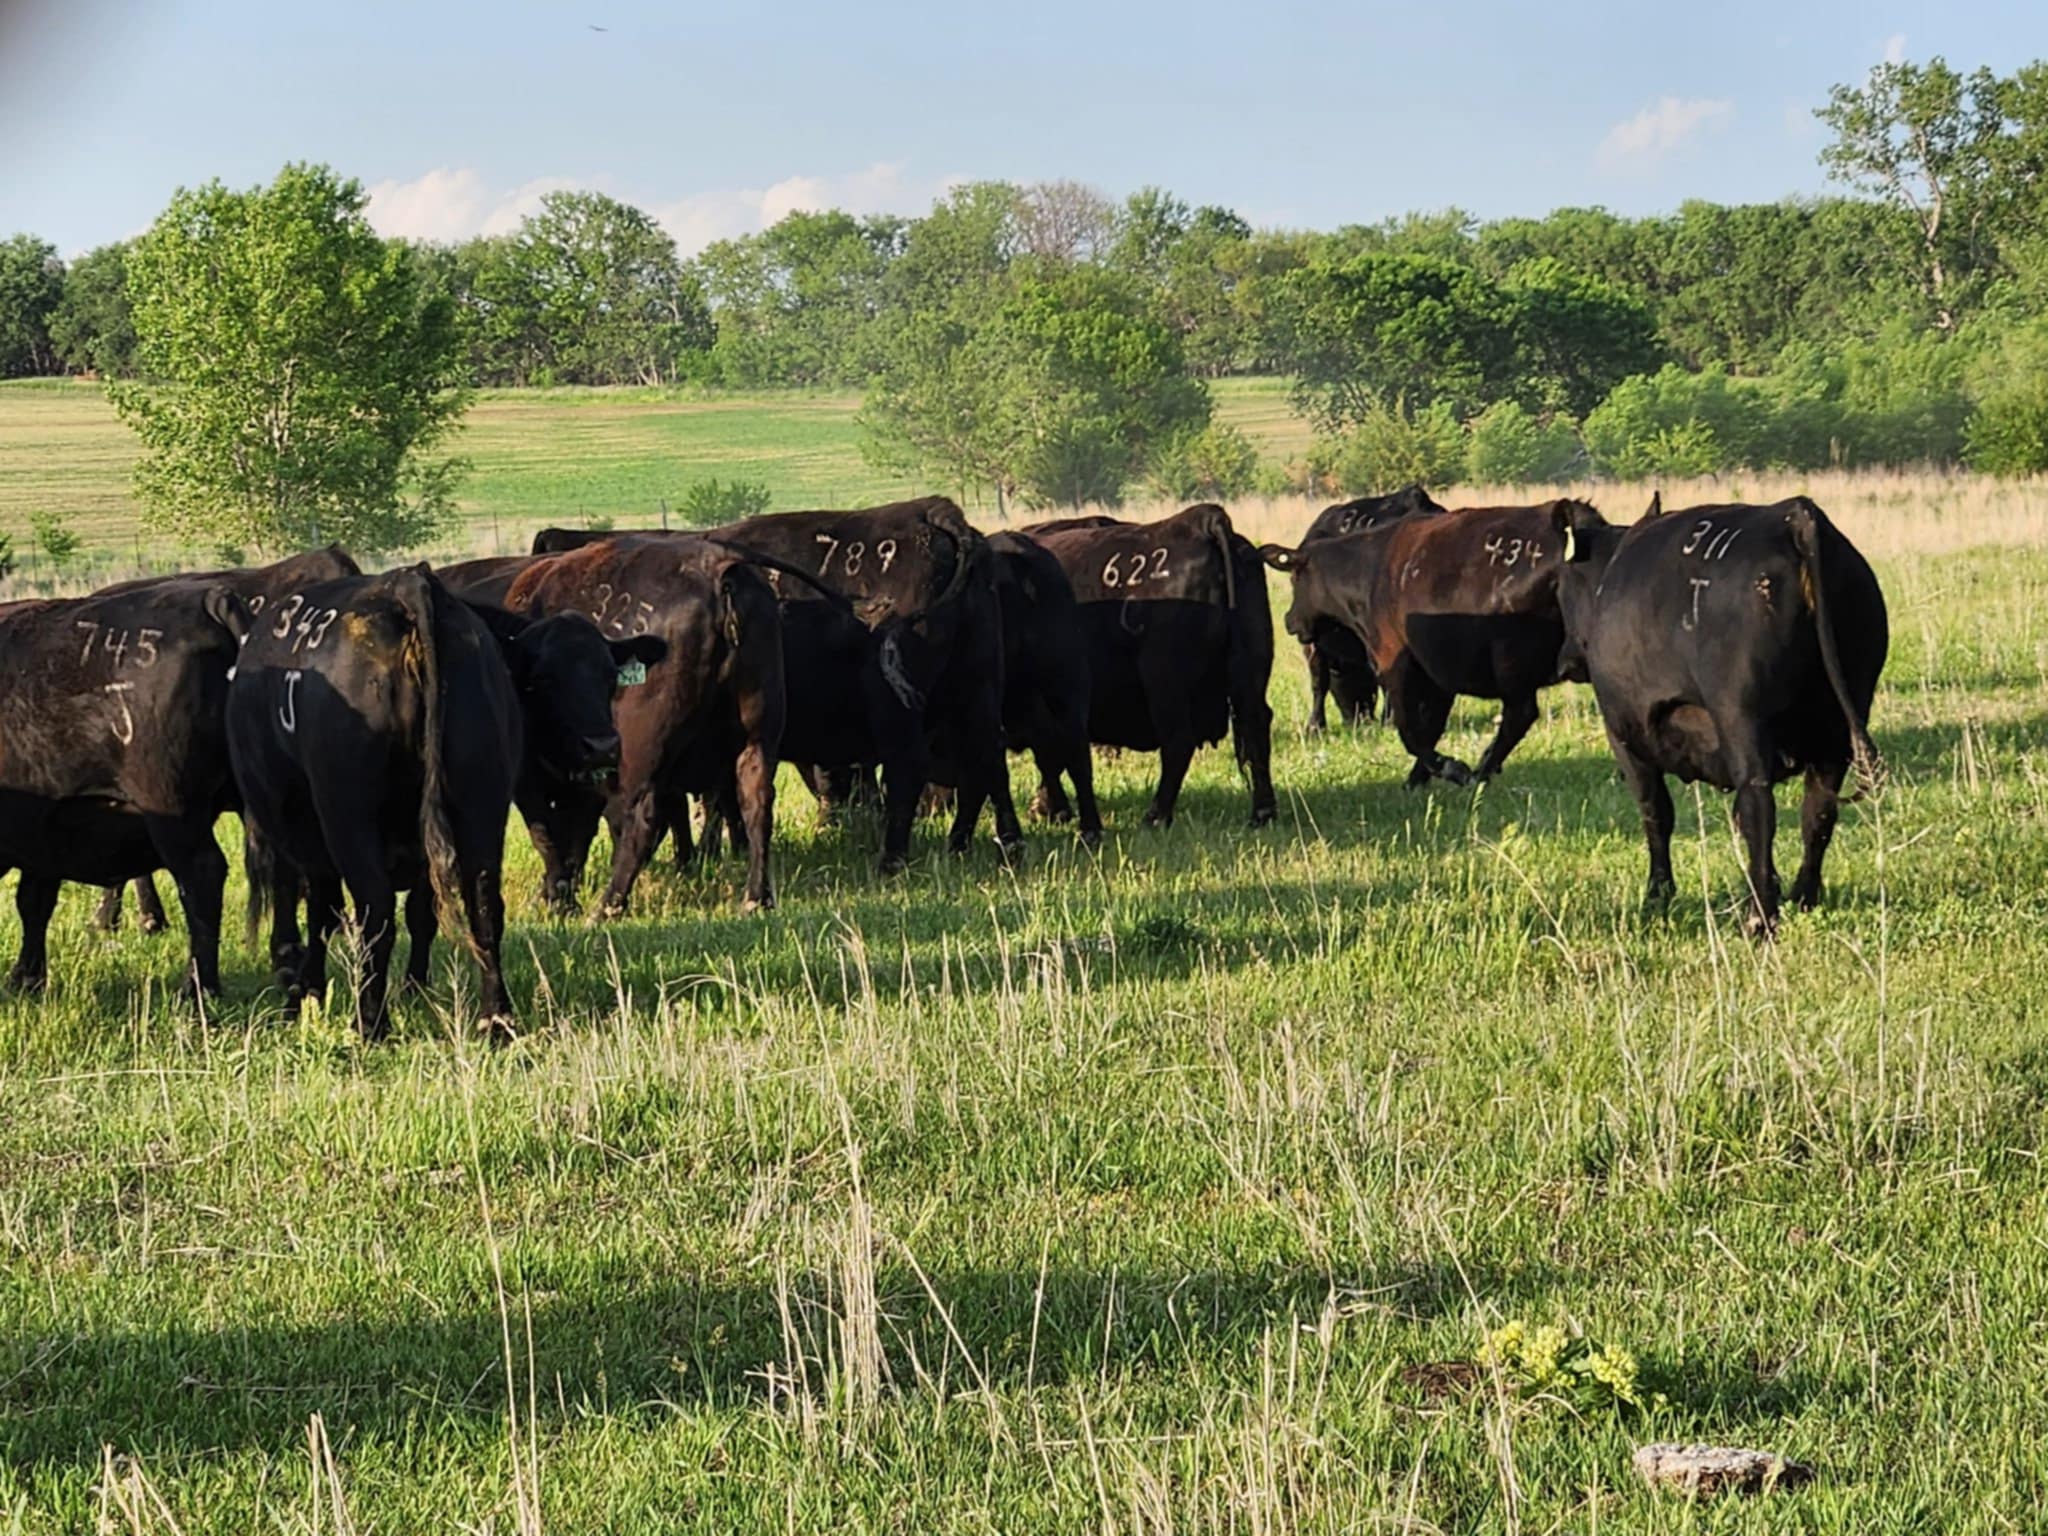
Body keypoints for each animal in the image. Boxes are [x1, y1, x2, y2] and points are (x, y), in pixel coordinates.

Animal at [0, 580, 249, 996]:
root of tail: (210, 600)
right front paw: (27, 978)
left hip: (172, 808)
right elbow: (34, 901)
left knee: (202, 876)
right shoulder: (43, 831)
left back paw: (196, 988)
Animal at [226, 566, 636, 1037]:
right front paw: (414, 989)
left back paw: (371, 1025)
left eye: (610, 677)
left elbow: (318, 913)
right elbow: (420, 913)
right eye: (545, 680)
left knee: (374, 910)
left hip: (349, 814)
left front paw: (304, 991)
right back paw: (496, 1019)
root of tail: (408, 583)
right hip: (481, 803)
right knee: (484, 906)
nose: (602, 746)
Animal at [449, 535, 780, 915]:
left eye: (611, 676)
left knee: (643, 817)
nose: (601, 744)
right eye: (544, 678)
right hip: (757, 740)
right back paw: (756, 898)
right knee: (757, 803)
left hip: (641, 754)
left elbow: (548, 833)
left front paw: (558, 898)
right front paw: (559, 892)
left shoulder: (531, 777)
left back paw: (607, 907)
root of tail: (716, 567)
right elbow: (572, 836)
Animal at [1020, 503, 1275, 828]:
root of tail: (1201, 521)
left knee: (1178, 740)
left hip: (1163, 678)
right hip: (1249, 673)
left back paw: (1156, 816)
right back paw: (1263, 812)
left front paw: (1048, 808)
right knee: (1255, 725)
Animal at [1550, 495, 1888, 934]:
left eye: (1559, 586)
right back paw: (1801, 897)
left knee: (1759, 806)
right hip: (1839, 728)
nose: (1566, 660)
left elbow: (1655, 811)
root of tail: (1794, 514)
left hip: (1741, 718)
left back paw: (1759, 917)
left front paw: (1658, 893)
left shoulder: (1623, 733)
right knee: (1818, 812)